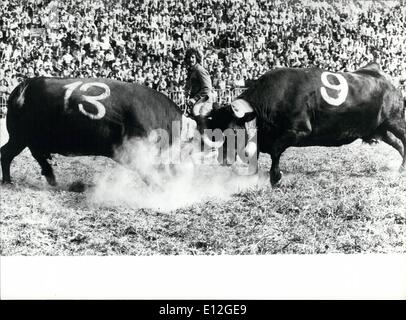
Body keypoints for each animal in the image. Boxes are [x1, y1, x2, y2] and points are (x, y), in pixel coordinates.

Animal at [0, 77, 219, 186]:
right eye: (190, 150)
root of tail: (22, 89)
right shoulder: (132, 153)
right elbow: (148, 171)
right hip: (21, 136)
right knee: (11, 153)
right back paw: (14, 181)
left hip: (23, 138)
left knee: (20, 153)